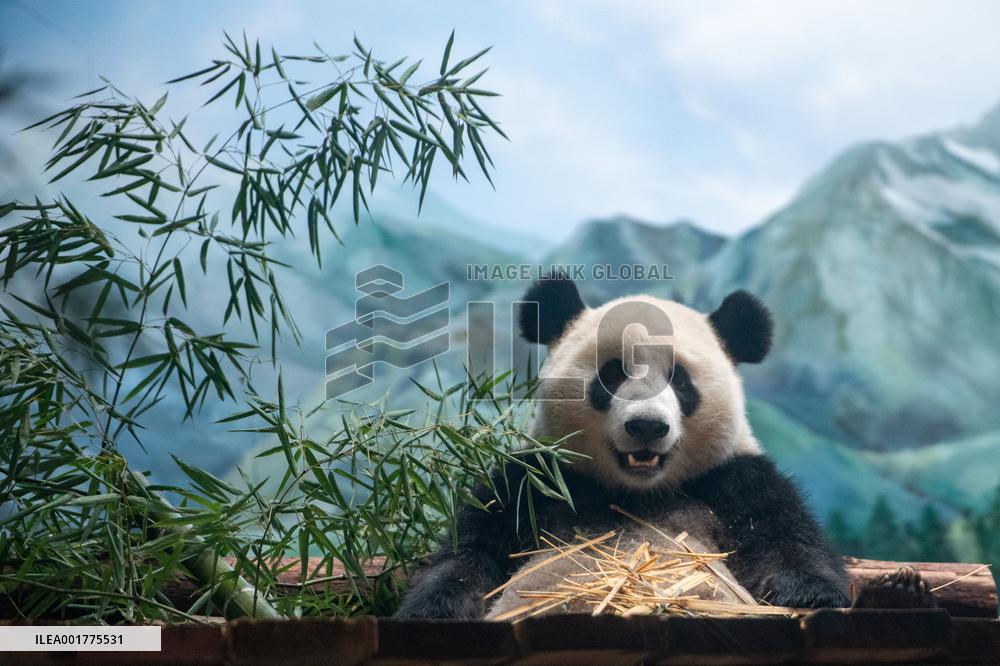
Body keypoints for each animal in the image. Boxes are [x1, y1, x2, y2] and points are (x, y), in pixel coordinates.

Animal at [396, 278, 936, 618]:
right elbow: (473, 551)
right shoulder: (538, 478)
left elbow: (788, 542)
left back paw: (900, 596)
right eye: (612, 373)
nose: (647, 427)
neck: (638, 493)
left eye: (679, 379)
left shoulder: (731, 479)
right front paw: (434, 606)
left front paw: (809, 593)